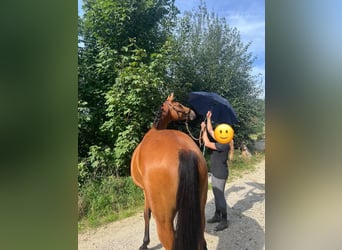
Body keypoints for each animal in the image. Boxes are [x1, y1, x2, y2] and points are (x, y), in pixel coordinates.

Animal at [130, 93, 207, 250]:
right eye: (178, 105)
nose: (192, 113)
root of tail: (184, 150)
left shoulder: (145, 192)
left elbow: (146, 214)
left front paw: (144, 243)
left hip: (164, 222)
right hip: (200, 210)